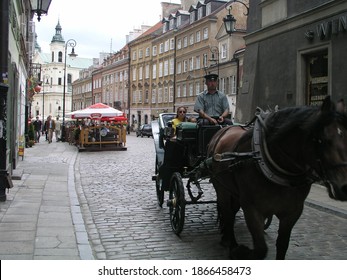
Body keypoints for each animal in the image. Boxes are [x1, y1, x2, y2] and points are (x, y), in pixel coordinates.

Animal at [208, 97, 347, 260]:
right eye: (321, 139)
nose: (345, 187)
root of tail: (223, 130)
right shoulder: (252, 210)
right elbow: (261, 249)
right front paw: (241, 251)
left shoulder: (293, 212)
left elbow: (282, 245)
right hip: (222, 189)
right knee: (228, 213)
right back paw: (231, 243)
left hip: (234, 191)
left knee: (231, 211)